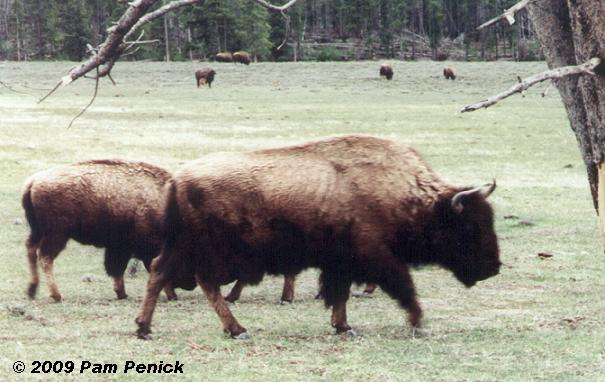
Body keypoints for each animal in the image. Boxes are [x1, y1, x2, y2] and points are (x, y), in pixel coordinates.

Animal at [22, 159, 178, 302]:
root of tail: (34, 181)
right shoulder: (125, 247)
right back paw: (57, 295)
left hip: (38, 231)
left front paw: (121, 293)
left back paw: (32, 290)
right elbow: (119, 267)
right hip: (56, 234)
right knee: (45, 257)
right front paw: (122, 293)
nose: (175, 296)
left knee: (31, 250)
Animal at [137, 136, 500, 338]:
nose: (493, 267)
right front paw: (417, 322)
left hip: (183, 247)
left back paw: (145, 328)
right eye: (469, 227)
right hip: (212, 251)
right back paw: (236, 330)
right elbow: (403, 288)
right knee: (202, 282)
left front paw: (343, 327)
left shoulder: (342, 264)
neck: (406, 195)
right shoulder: (378, 258)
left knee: (159, 273)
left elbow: (340, 295)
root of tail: (179, 179)